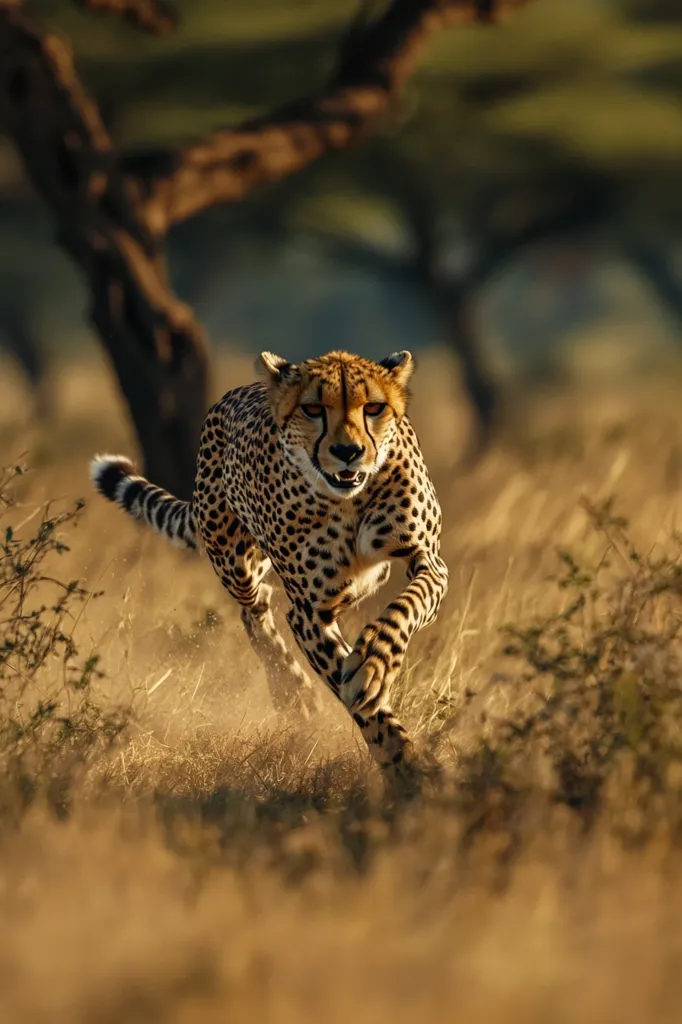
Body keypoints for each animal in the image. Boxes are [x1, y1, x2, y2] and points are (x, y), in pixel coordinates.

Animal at [90, 349, 449, 788]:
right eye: (313, 409)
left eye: (374, 408)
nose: (348, 451)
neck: (349, 499)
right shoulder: (310, 610)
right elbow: (347, 684)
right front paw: (401, 760)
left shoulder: (428, 559)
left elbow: (407, 606)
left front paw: (372, 664)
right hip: (236, 561)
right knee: (254, 609)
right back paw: (293, 693)